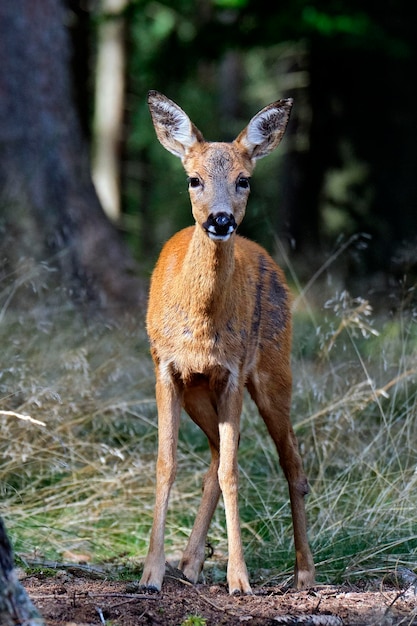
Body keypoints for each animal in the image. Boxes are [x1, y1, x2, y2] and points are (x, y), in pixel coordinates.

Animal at [140, 90, 316, 592]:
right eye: (193, 179)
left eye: (244, 180)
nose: (220, 220)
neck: (201, 327)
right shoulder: (165, 366)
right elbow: (167, 463)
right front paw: (151, 572)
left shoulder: (234, 371)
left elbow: (234, 472)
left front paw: (240, 578)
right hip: (200, 390)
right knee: (218, 453)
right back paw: (190, 562)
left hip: (275, 367)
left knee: (290, 461)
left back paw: (305, 572)